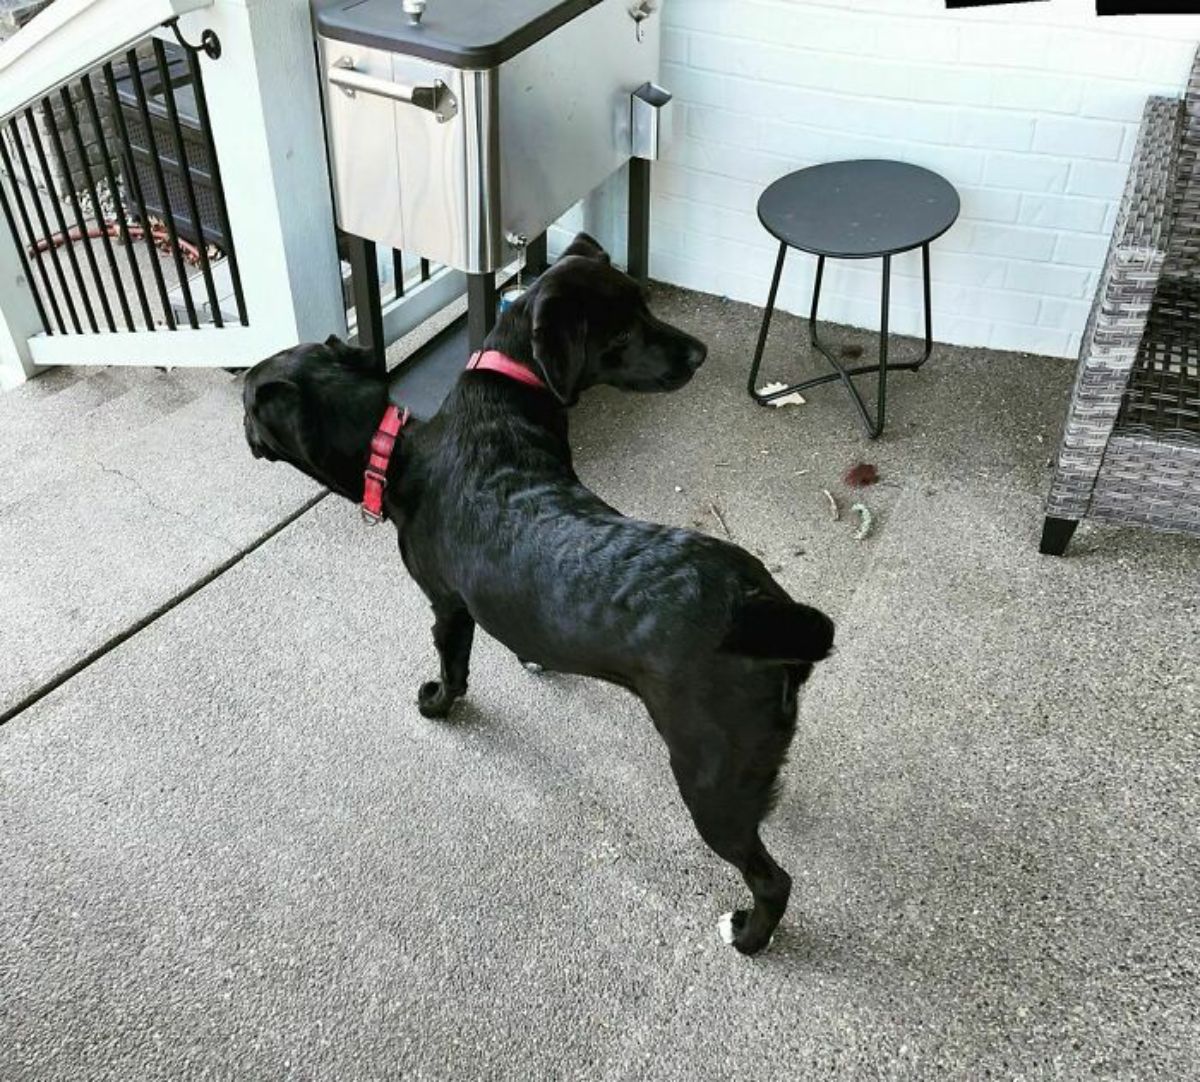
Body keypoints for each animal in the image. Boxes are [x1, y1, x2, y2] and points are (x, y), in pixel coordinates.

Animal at [243, 232, 835, 954]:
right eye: (626, 323)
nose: (698, 352)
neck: (408, 448)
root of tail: (756, 603)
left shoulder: (446, 607)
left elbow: (453, 666)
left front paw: (438, 702)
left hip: (708, 780)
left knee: (772, 878)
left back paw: (749, 934)